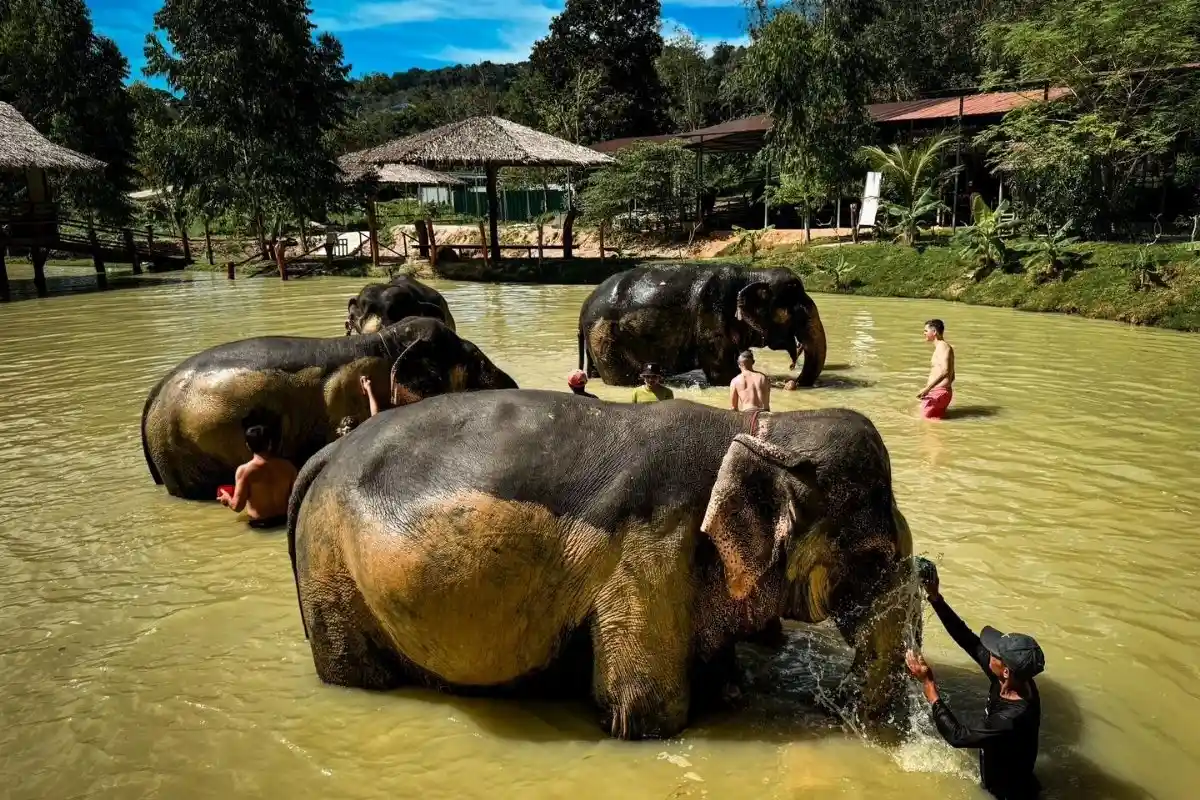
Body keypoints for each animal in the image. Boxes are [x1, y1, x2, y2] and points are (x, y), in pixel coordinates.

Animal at [288, 390, 916, 740]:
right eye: (873, 560)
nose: (830, 708)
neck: (752, 429)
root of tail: (324, 455)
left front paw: (732, 692)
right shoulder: (648, 548)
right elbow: (648, 711)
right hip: (330, 563)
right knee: (355, 671)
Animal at [578, 263, 827, 387]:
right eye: (798, 312)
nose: (792, 382)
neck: (752, 273)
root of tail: (584, 307)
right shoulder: (711, 314)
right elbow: (723, 373)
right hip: (605, 337)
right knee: (622, 378)